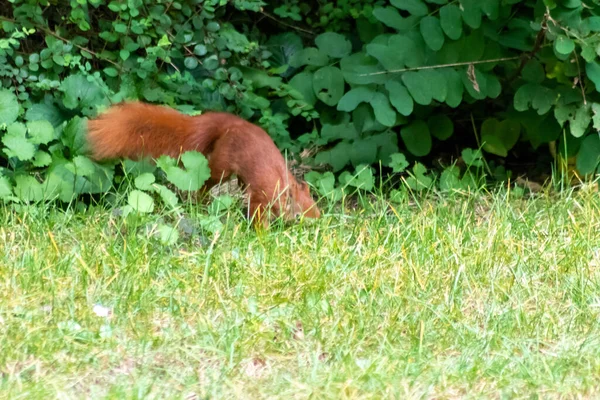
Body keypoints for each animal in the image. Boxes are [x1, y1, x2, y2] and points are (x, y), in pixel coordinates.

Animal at [87, 101, 322, 225]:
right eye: (299, 215)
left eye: (315, 205)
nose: (318, 221)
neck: (282, 186)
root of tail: (234, 124)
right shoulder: (261, 197)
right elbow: (257, 214)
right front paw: (261, 233)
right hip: (222, 165)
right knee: (209, 181)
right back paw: (203, 199)